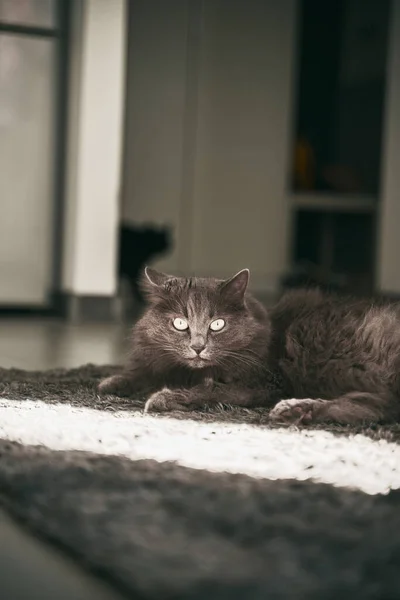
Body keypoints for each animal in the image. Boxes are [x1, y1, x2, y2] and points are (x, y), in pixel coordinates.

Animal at [99, 268, 400, 426]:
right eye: (180, 323)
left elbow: (210, 391)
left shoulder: (263, 382)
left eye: (217, 324)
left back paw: (291, 409)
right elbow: (143, 373)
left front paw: (165, 397)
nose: (198, 347)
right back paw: (295, 411)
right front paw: (112, 383)